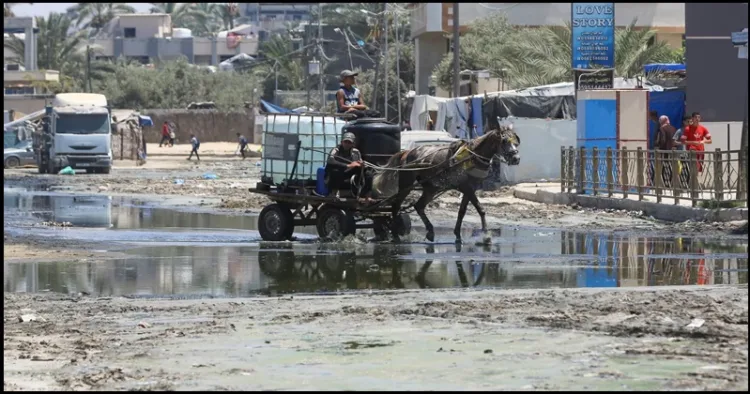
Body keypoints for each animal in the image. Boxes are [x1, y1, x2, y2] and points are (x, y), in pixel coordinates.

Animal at [372, 125, 524, 243]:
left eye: (515, 142)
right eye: (504, 141)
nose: (516, 158)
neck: (473, 156)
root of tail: (406, 152)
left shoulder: (470, 188)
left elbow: (462, 212)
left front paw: (458, 235)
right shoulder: (466, 187)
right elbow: (481, 209)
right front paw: (486, 236)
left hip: (431, 187)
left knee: (419, 206)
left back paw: (430, 231)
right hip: (406, 185)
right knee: (396, 206)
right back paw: (395, 233)